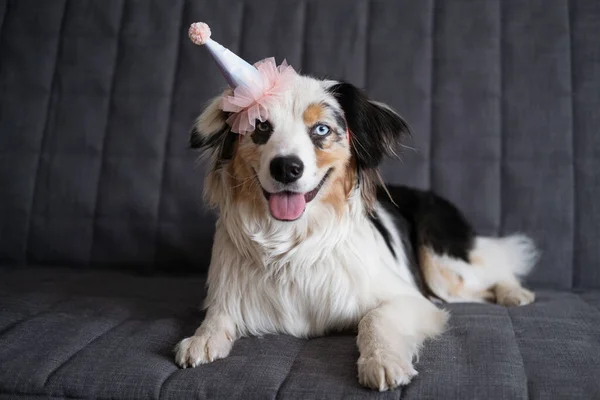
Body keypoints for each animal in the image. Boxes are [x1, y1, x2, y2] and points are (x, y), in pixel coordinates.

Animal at [175, 73, 540, 390]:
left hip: (442, 269)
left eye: (321, 129)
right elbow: (218, 315)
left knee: (491, 268)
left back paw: (513, 292)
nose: (286, 168)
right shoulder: (228, 292)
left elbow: (374, 319)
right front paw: (202, 338)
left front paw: (382, 361)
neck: (291, 245)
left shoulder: (411, 298)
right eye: (261, 126)